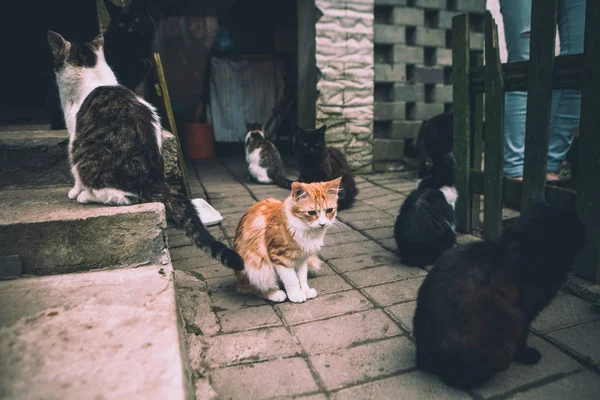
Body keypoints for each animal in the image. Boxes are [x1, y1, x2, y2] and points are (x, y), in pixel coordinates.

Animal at [47, 29, 244, 270]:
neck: (92, 74)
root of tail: (152, 180)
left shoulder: (73, 135)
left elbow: (75, 177)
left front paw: (75, 192)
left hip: (85, 157)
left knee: (120, 196)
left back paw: (86, 196)